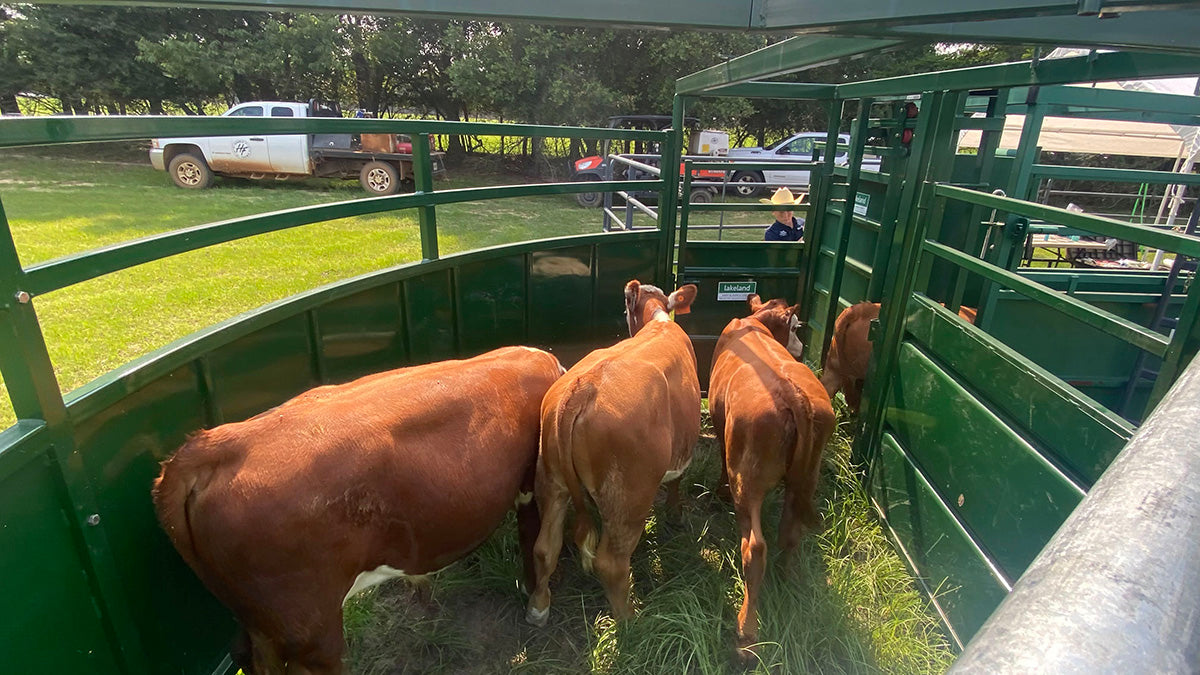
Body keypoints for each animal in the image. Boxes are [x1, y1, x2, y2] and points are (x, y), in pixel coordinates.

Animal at [152, 346, 563, 675]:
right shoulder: (529, 486)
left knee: (247, 654)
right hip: (311, 628)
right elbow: (533, 541)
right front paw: (535, 602)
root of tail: (215, 446)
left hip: (258, 618)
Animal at [525, 280, 701, 626]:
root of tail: (581, 389)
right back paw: (631, 620)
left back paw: (538, 608)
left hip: (551, 481)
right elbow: (677, 479)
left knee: (544, 548)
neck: (659, 321)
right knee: (611, 563)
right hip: (629, 497)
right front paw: (676, 514)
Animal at [709, 295, 835, 662]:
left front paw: (717, 493)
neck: (755, 323)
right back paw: (788, 579)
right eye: (794, 328)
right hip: (806, 478)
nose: (801, 346)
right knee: (791, 532)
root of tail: (791, 392)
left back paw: (746, 633)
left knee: (754, 548)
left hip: (747, 479)